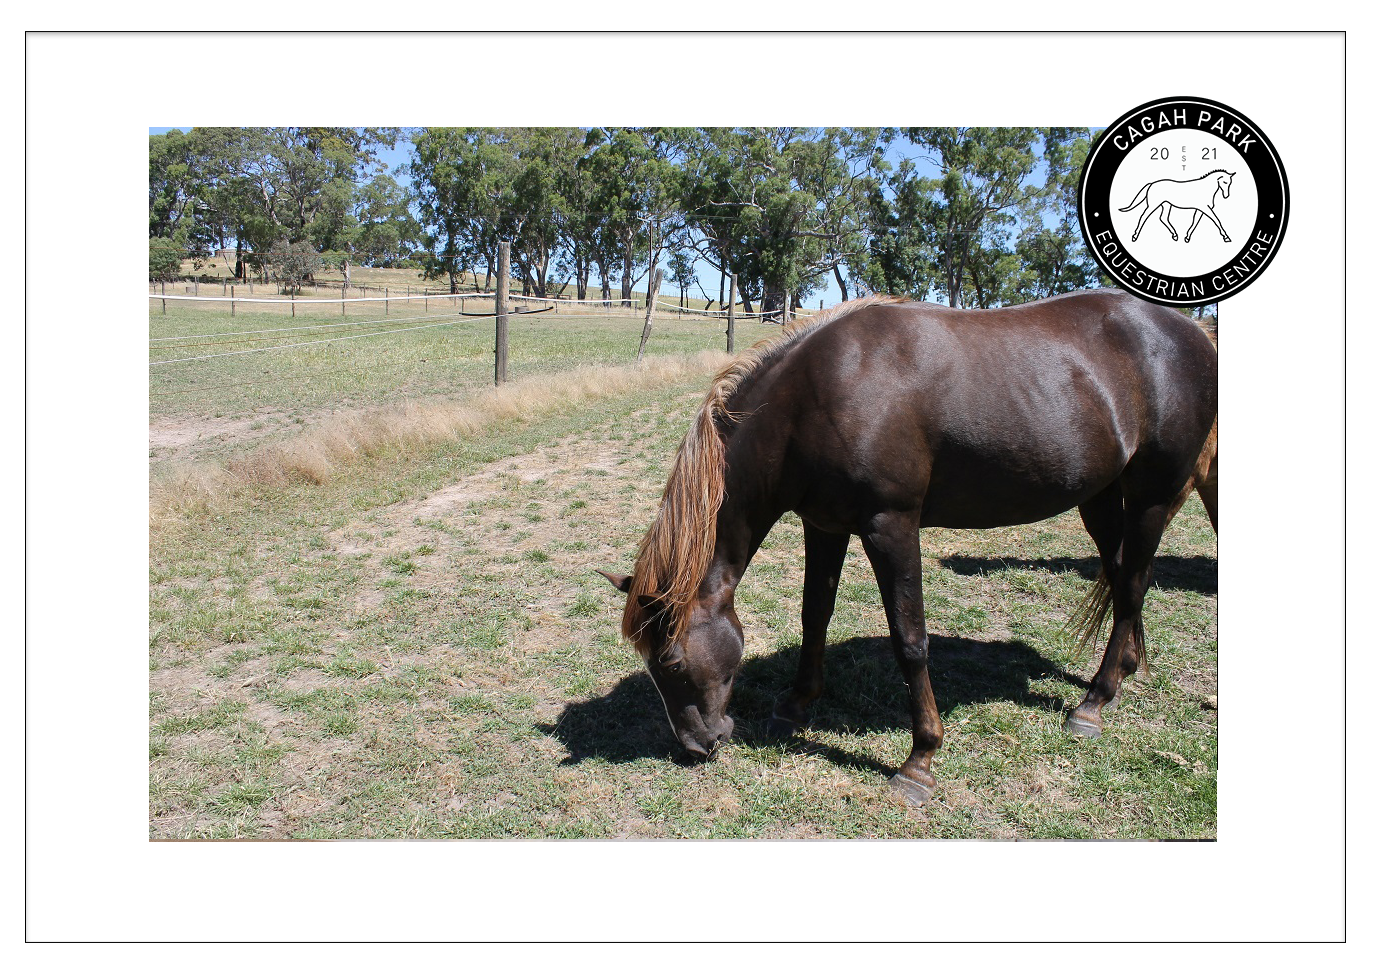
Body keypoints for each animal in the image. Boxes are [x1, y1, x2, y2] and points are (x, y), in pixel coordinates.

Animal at [599, 291, 1216, 807]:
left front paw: (920, 760)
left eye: (671, 660)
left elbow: (910, 640)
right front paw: (796, 704)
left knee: (1132, 582)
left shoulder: (891, 527)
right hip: (1101, 497)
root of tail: (1192, 330)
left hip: (1151, 497)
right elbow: (814, 614)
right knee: (1123, 576)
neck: (818, 393)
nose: (696, 746)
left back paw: (1095, 701)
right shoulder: (824, 525)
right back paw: (1124, 670)